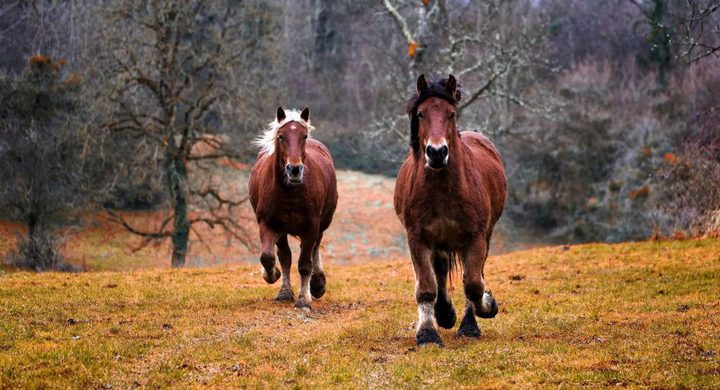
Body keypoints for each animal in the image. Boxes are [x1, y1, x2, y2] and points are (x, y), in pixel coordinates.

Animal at [249, 107, 338, 310]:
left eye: (304, 136)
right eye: (281, 136)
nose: (295, 169)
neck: (289, 192)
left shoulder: (311, 227)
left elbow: (305, 264)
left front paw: (304, 299)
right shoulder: (269, 225)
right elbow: (270, 257)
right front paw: (274, 277)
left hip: (322, 224)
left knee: (315, 249)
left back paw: (317, 284)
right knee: (285, 256)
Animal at [394, 74, 506, 346]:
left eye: (451, 114)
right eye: (421, 113)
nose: (437, 152)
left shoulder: (475, 237)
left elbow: (474, 284)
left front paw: (485, 309)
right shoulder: (417, 238)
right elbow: (426, 287)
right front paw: (428, 333)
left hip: (482, 236)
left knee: (471, 274)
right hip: (439, 242)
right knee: (441, 270)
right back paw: (443, 313)